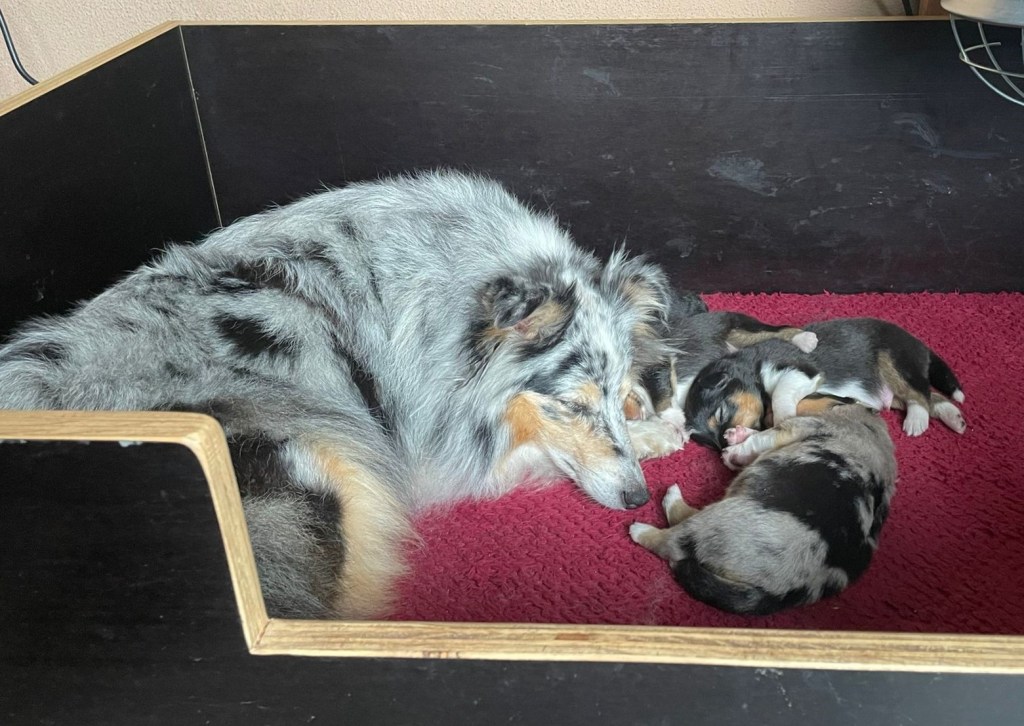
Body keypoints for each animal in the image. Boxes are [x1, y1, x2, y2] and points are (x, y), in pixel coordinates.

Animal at [0, 171, 675, 619]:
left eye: (611, 393)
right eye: (570, 404)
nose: (636, 497)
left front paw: (651, 415)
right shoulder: (432, 450)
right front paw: (656, 433)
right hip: (320, 477)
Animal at [630, 396, 897, 615]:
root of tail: (782, 593)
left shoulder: (796, 427)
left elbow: (760, 439)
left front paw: (733, 449)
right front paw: (736, 437)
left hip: (718, 520)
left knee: (672, 540)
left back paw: (651, 518)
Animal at [680, 316, 966, 450]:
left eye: (720, 414)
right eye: (710, 444)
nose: (724, 446)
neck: (750, 364)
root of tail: (920, 345)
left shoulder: (798, 370)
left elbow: (780, 400)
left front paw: (781, 419)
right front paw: (744, 434)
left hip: (893, 358)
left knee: (920, 393)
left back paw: (917, 420)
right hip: (893, 388)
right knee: (927, 395)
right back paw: (953, 416)